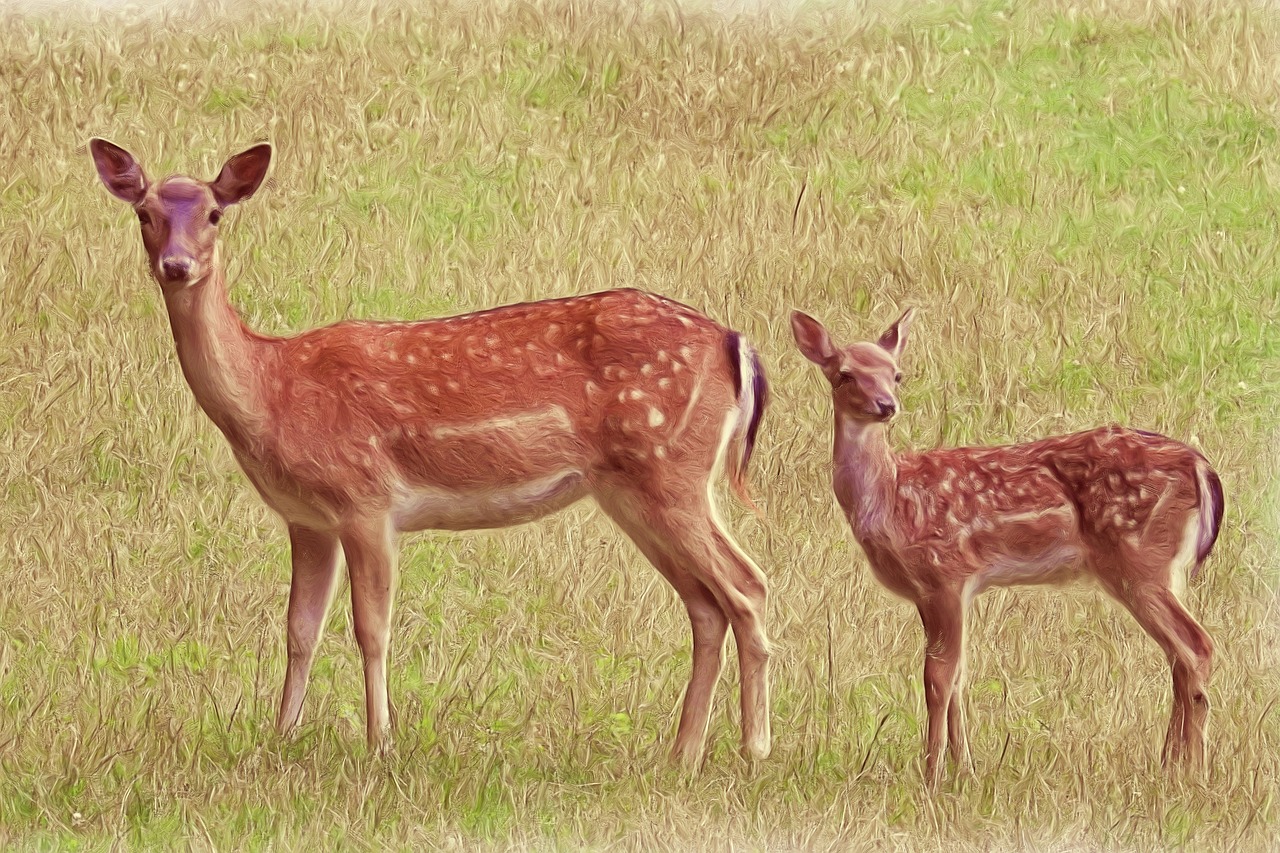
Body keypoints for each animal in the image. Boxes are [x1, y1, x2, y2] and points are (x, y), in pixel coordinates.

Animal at [90, 139, 773, 763]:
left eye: (214, 213)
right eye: (145, 212)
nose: (176, 264)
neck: (272, 388)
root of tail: (733, 343)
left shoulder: (365, 499)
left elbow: (371, 628)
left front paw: (380, 746)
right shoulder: (306, 518)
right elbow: (299, 629)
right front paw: (278, 740)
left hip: (672, 468)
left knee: (748, 585)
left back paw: (754, 749)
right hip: (632, 489)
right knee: (706, 605)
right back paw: (681, 754)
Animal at [788, 306, 1218, 783]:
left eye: (896, 374)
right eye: (844, 374)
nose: (887, 405)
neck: (891, 499)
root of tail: (1200, 466)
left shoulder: (946, 573)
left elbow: (937, 679)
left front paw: (932, 773)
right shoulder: (935, 591)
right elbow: (958, 677)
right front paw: (966, 769)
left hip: (1139, 559)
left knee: (1197, 647)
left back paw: (1194, 771)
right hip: (1160, 568)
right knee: (1179, 656)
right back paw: (1169, 764)